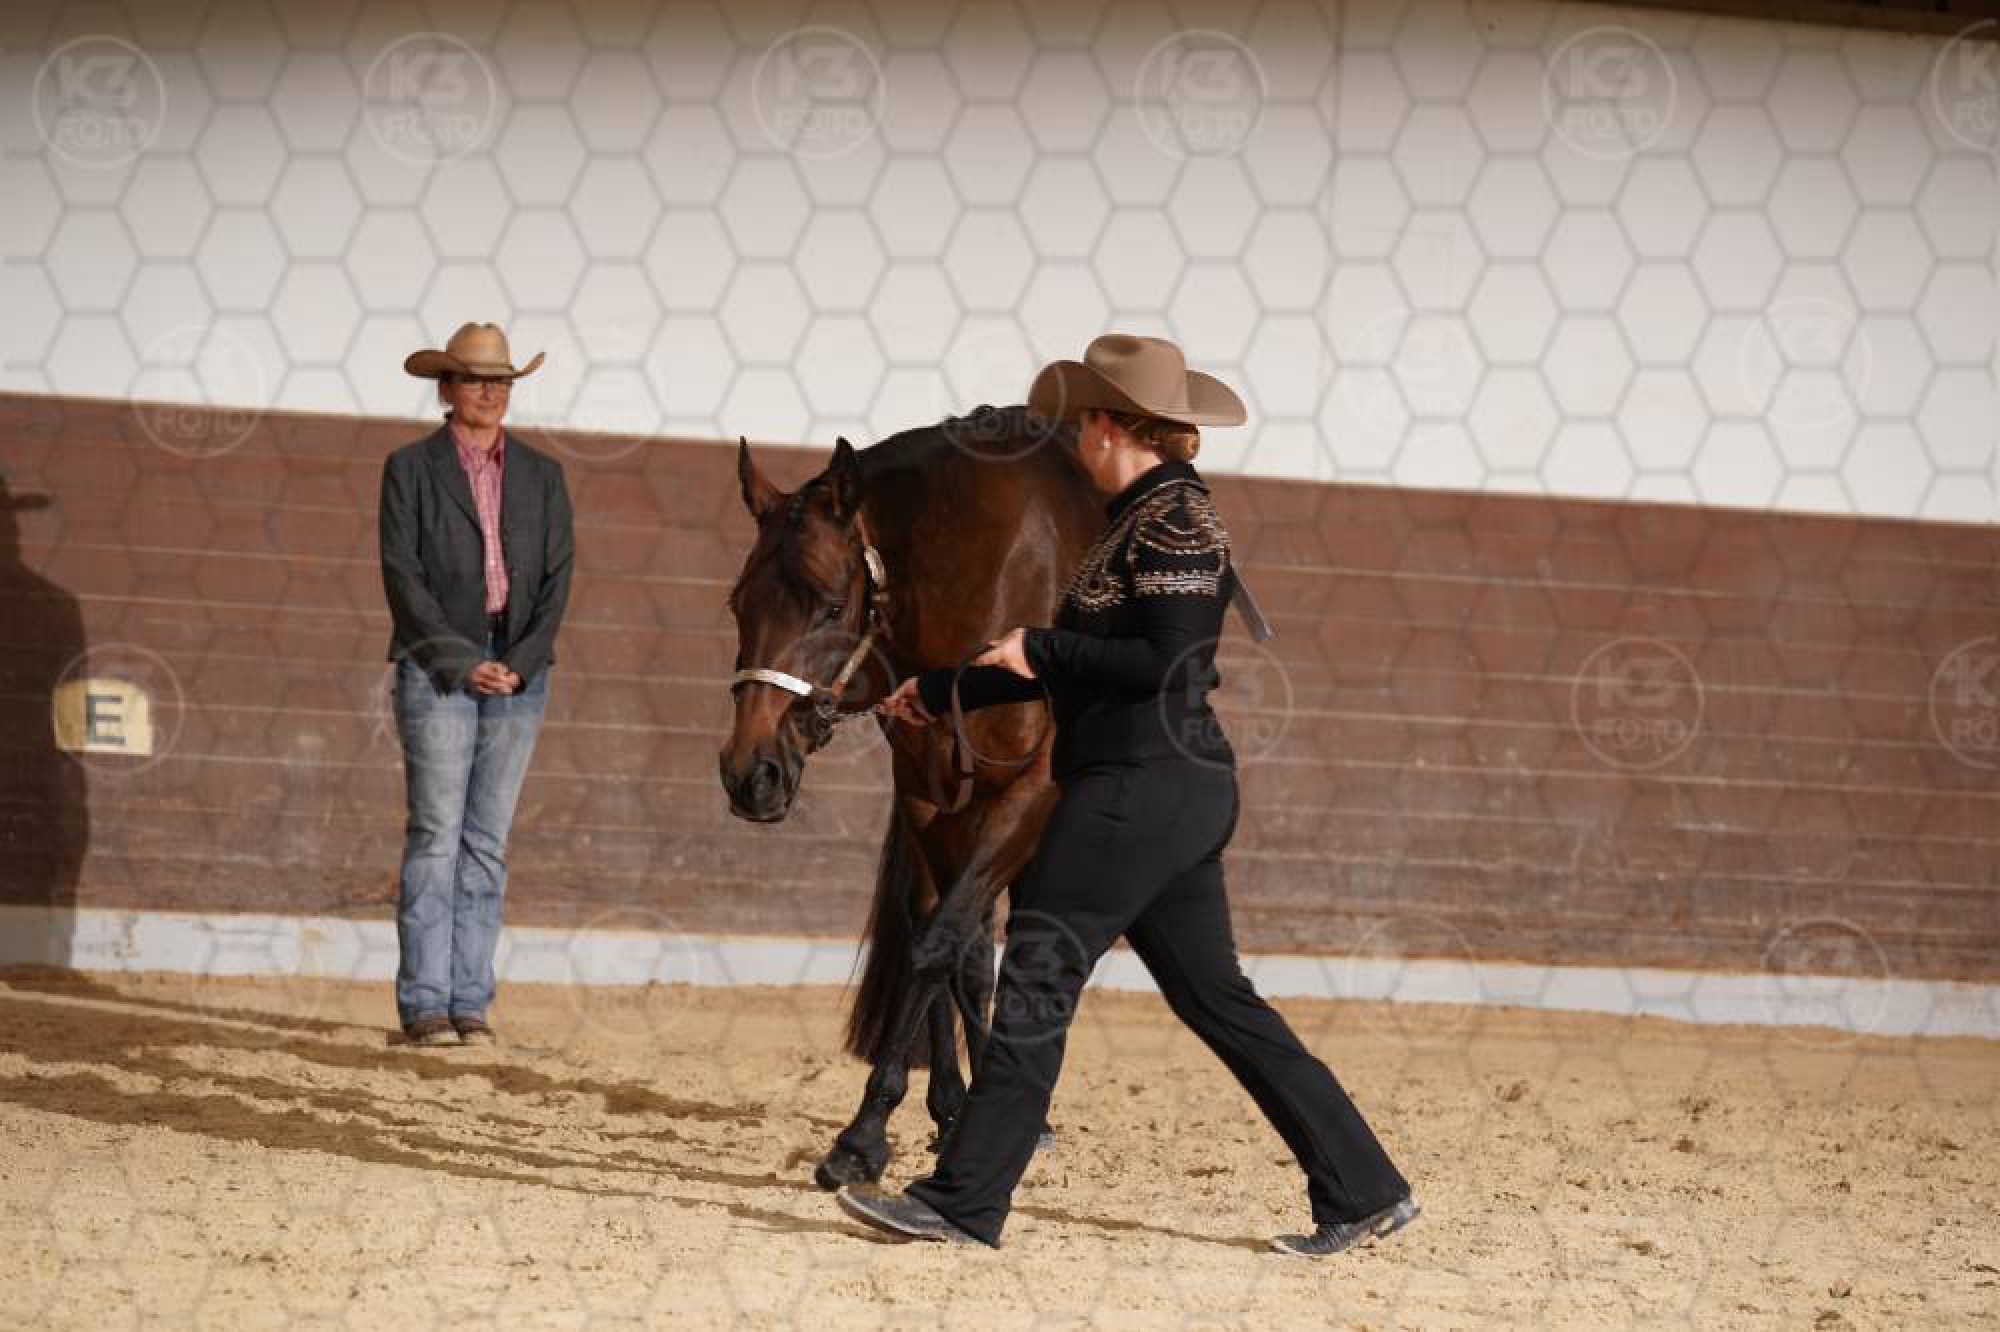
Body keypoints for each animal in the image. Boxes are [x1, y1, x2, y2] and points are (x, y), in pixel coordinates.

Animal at [718, 405, 1101, 1188]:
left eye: (832, 606)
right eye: (740, 604)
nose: (749, 773)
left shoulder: (1029, 794)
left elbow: (939, 945)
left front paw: (862, 1135)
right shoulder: (927, 795)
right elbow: (943, 939)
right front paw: (932, 1113)